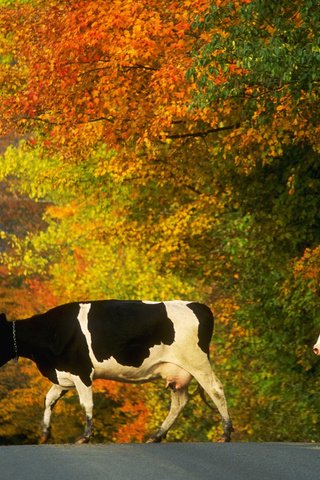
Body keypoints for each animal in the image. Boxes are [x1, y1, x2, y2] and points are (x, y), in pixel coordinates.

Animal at [1, 300, 234, 442]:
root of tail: (198, 305)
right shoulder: (64, 375)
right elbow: (49, 399)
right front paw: (44, 433)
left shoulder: (82, 372)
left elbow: (86, 403)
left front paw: (85, 436)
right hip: (176, 373)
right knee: (179, 402)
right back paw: (157, 435)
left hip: (197, 361)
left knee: (216, 390)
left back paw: (226, 433)